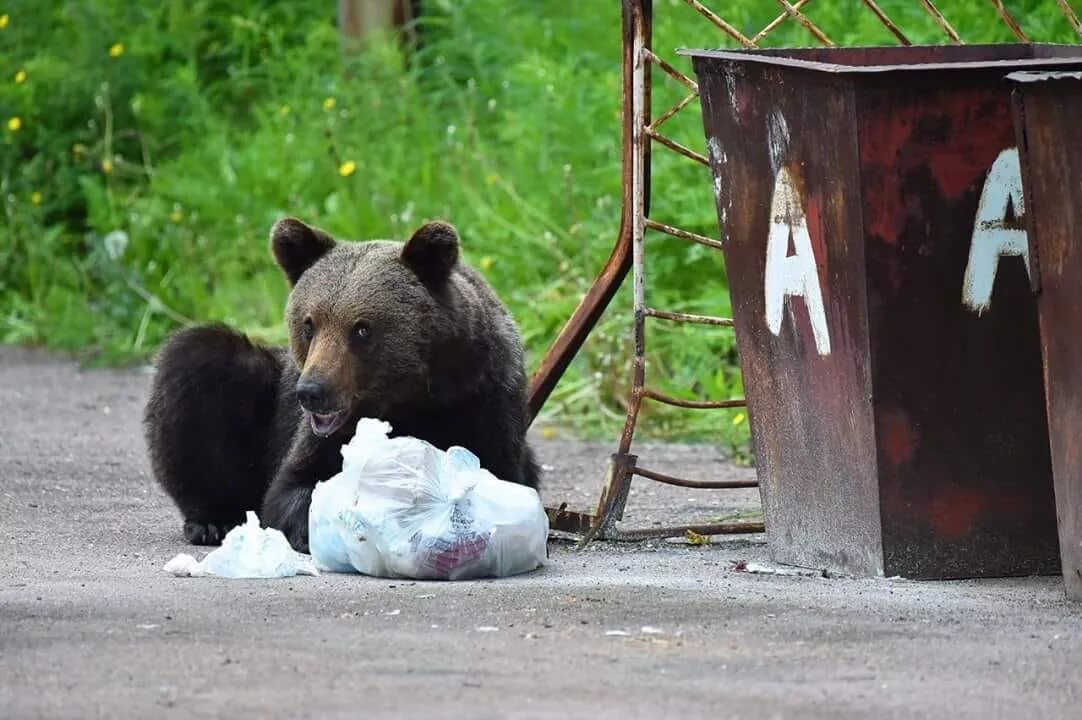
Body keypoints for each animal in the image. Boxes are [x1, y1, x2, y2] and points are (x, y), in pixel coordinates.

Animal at [143, 217, 541, 550]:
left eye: (362, 329)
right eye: (309, 323)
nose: (311, 392)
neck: (411, 397)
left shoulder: (484, 399)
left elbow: (500, 475)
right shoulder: (317, 434)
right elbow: (291, 486)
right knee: (199, 362)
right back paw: (212, 520)